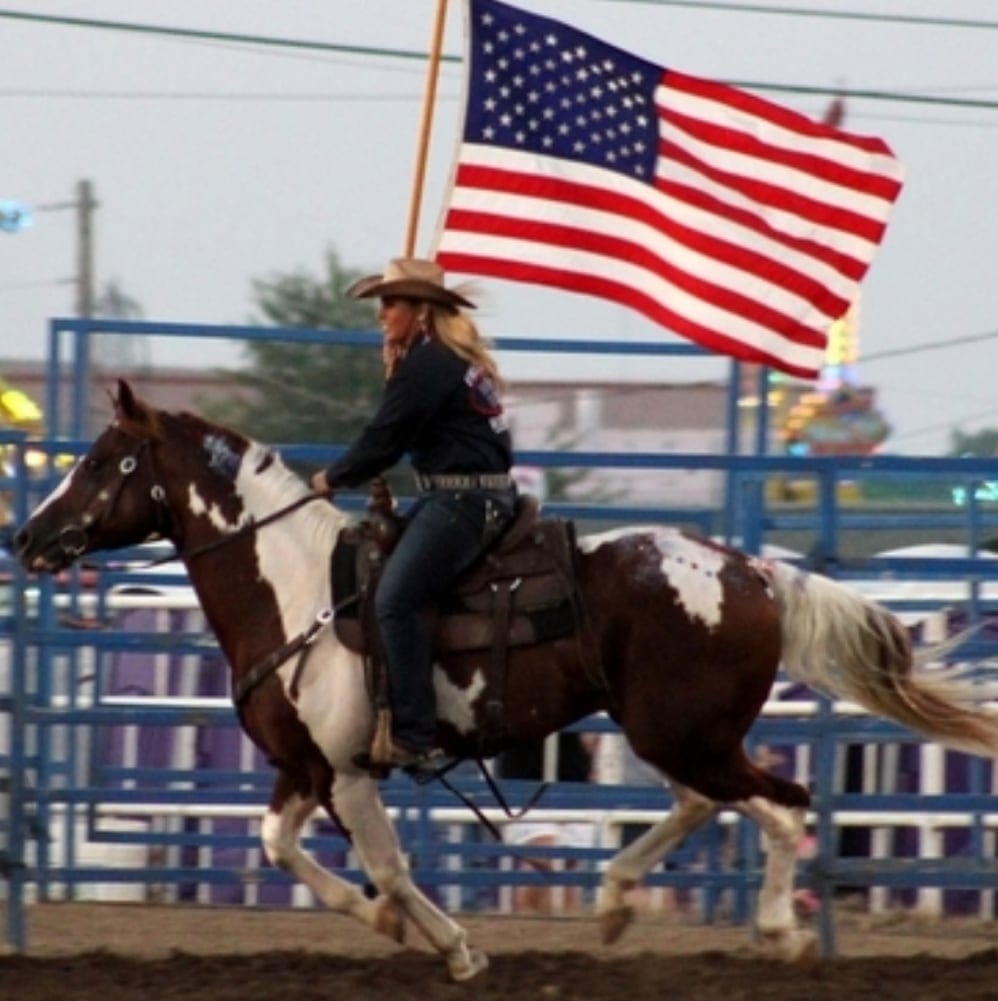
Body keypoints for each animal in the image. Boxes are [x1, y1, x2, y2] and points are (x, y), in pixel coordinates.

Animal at [13, 378, 996, 980]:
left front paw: (453, 948)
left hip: (684, 732)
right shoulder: (305, 770)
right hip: (675, 732)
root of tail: (753, 571)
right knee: (699, 803)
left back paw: (780, 931)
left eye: (100, 462)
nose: (27, 536)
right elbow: (278, 847)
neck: (294, 587)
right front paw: (382, 922)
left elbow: (390, 863)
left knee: (780, 805)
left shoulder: (350, 772)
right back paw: (613, 903)